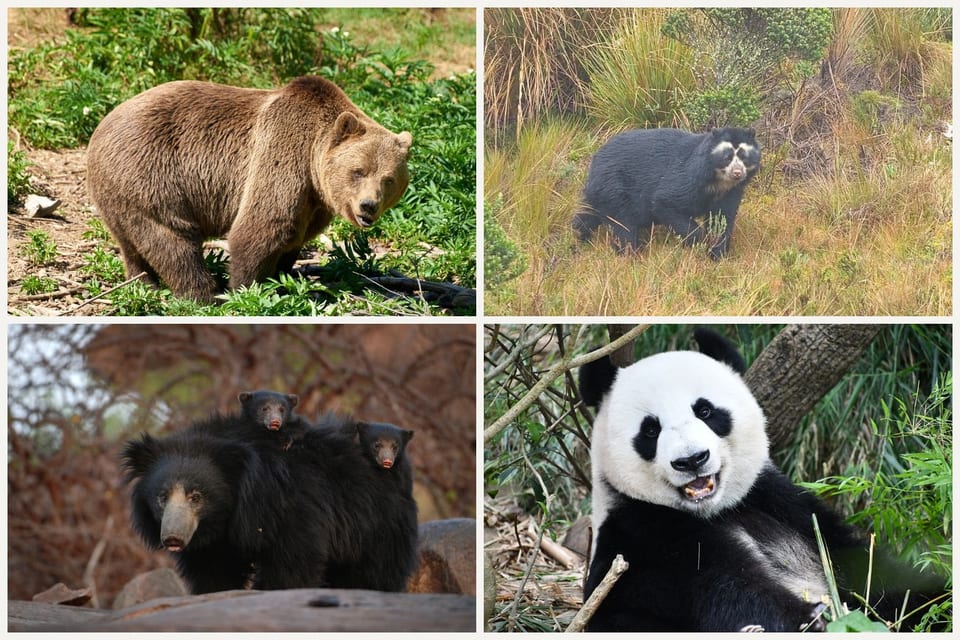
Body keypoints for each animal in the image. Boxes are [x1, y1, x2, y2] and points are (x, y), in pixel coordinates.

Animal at [87, 75, 413, 303]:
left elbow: (293, 238)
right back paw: (203, 294)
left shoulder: (313, 202)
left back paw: (144, 283)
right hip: (150, 174)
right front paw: (245, 289)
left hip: (119, 193)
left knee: (132, 242)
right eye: (358, 171)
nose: (368, 206)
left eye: (388, 179)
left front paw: (282, 279)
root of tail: (101, 126)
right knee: (172, 238)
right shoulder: (281, 156)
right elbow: (260, 228)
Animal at [121, 412, 418, 593]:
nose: (172, 537)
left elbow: (293, 562)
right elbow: (213, 571)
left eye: (197, 497)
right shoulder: (213, 542)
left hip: (378, 523)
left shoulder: (291, 507)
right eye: (162, 497)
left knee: (376, 572)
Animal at [572, 127, 760, 259]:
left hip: (603, 192)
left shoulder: (731, 192)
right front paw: (699, 240)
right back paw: (632, 253)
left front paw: (717, 253)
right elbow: (665, 202)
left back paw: (579, 235)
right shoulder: (688, 178)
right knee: (623, 225)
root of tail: (595, 159)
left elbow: (722, 219)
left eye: (744, 156)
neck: (717, 182)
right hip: (615, 187)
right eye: (727, 157)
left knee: (590, 215)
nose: (737, 173)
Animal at [579, 328, 944, 632]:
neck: (714, 511)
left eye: (706, 411)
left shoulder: (777, 499)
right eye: (650, 430)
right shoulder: (646, 533)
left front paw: (932, 602)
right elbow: (730, 589)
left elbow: (864, 567)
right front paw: (810, 620)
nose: (692, 460)